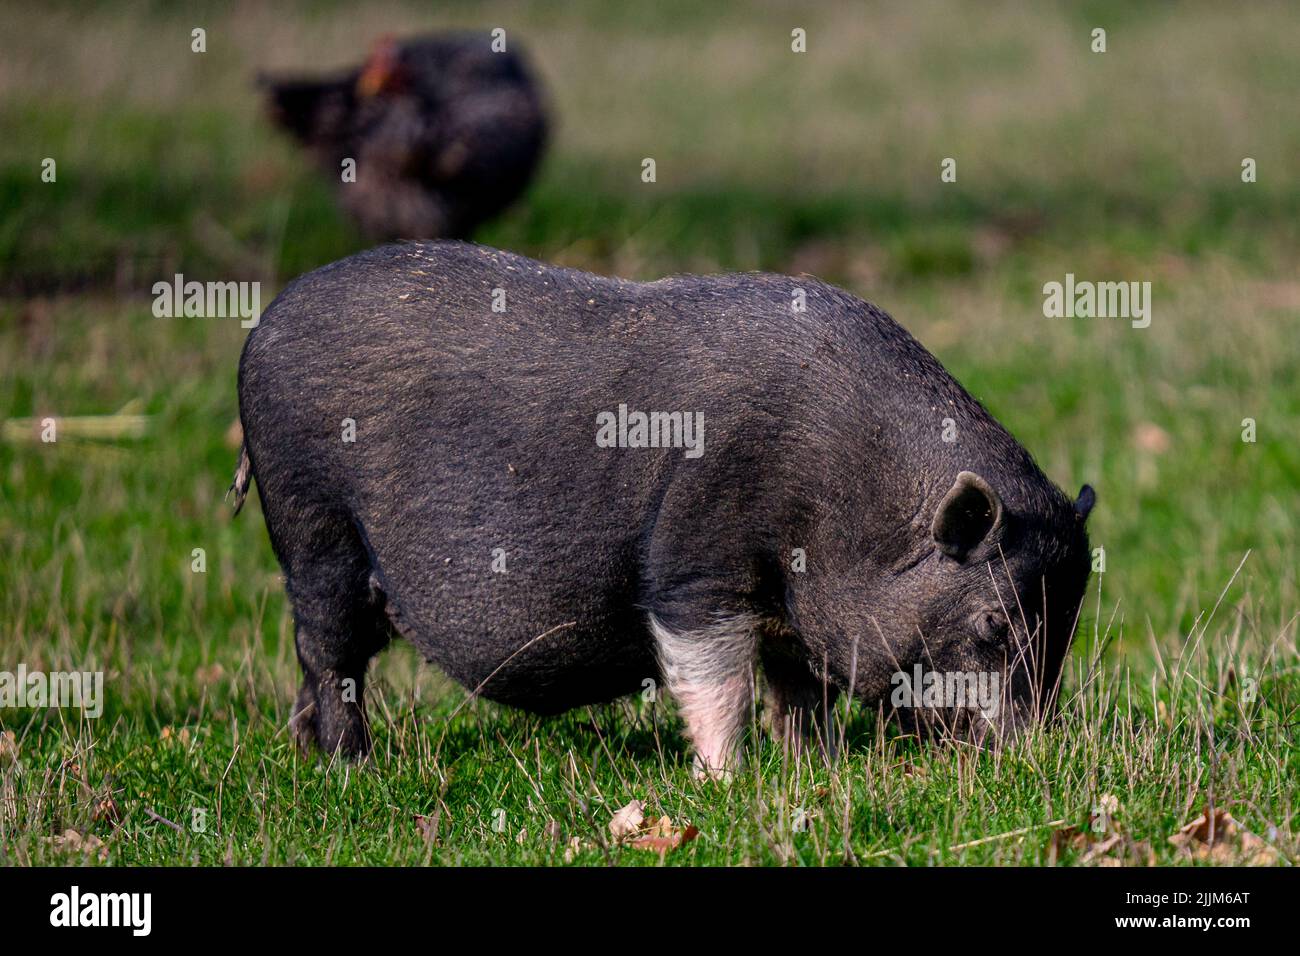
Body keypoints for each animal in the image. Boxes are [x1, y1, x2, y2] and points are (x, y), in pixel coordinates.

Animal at [233, 240, 1097, 780]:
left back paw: (308, 751)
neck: (847, 503)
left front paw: (814, 771)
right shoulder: (694, 564)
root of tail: (261, 326)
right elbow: (713, 675)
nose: (1036, 754)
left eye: (1068, 626)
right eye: (993, 623)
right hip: (313, 525)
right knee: (329, 653)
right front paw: (729, 781)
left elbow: (799, 694)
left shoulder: (794, 612)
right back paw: (351, 766)